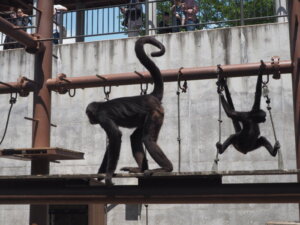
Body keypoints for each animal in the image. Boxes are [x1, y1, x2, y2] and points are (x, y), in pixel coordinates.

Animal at [85, 36, 172, 185]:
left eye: (89, 115)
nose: (89, 120)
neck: (101, 106)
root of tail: (150, 96)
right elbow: (111, 143)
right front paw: (100, 175)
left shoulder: (103, 117)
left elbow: (115, 136)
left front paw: (108, 175)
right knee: (135, 138)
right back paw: (141, 169)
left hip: (155, 113)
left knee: (148, 139)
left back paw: (167, 169)